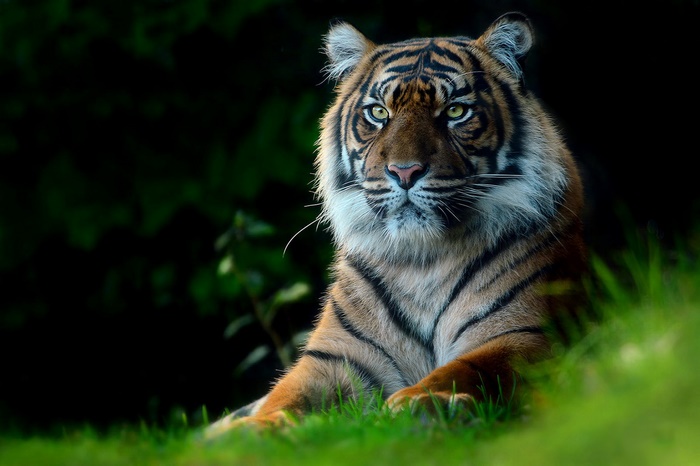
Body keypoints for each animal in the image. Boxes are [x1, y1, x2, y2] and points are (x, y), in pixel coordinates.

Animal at [207, 11, 586, 435]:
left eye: (455, 112)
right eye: (379, 113)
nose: (405, 172)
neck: (422, 260)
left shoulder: (522, 332)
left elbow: (467, 367)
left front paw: (423, 402)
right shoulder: (335, 358)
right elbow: (285, 397)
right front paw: (249, 432)